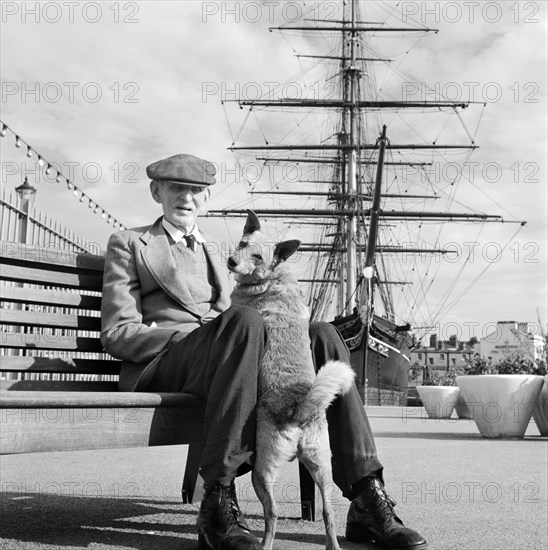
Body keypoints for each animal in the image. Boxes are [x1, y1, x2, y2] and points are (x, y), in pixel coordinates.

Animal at [227, 210, 356, 550]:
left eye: (258, 256)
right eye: (242, 243)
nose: (231, 262)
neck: (271, 277)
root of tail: (299, 409)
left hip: (262, 471)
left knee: (271, 514)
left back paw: (264, 544)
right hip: (322, 467)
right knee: (328, 513)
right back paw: (332, 543)